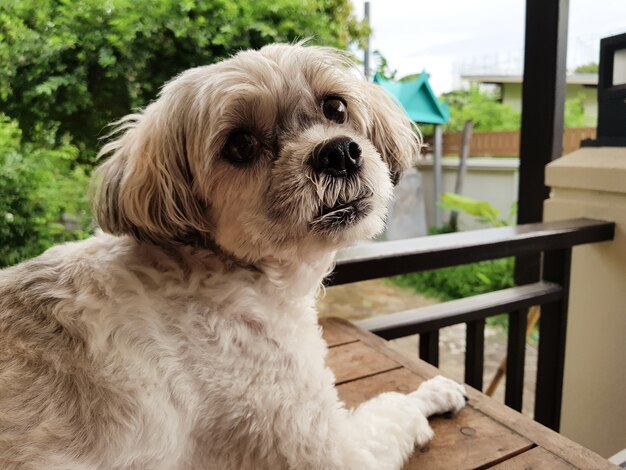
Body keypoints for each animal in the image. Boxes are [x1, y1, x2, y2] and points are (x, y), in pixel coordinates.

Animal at [0, 45, 464, 470]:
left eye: (335, 107)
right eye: (239, 144)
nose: (338, 152)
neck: (224, 269)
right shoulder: (323, 445)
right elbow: (394, 408)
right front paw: (433, 393)